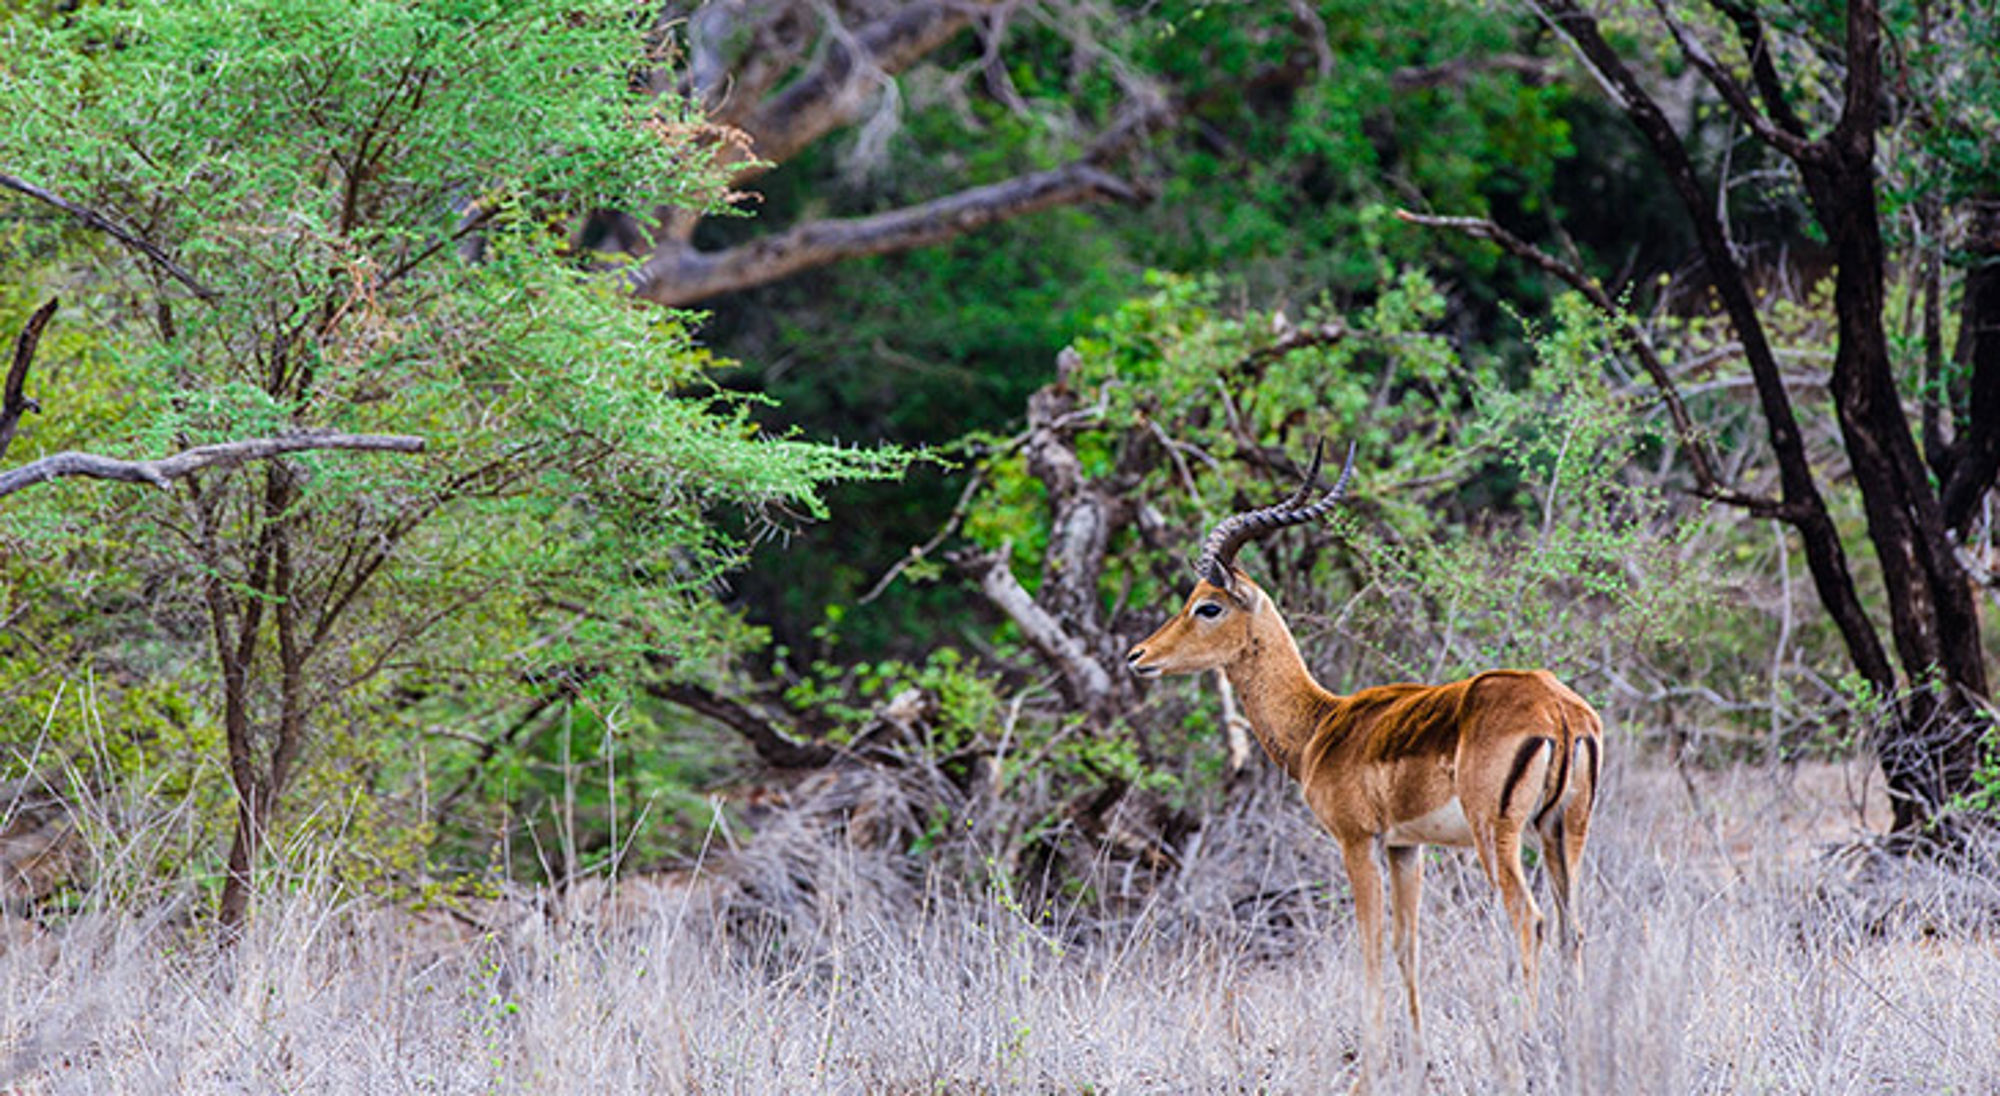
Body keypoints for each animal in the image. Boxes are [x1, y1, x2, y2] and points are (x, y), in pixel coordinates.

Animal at [1126, 442, 1603, 1043]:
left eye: (1207, 606)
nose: (1138, 655)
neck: (1320, 725)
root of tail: (1558, 708)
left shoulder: (1357, 840)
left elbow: (1371, 944)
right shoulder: (1405, 846)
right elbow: (1406, 946)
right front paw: (1416, 1047)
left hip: (1498, 834)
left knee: (1529, 917)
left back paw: (1528, 1035)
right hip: (1564, 829)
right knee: (1572, 926)